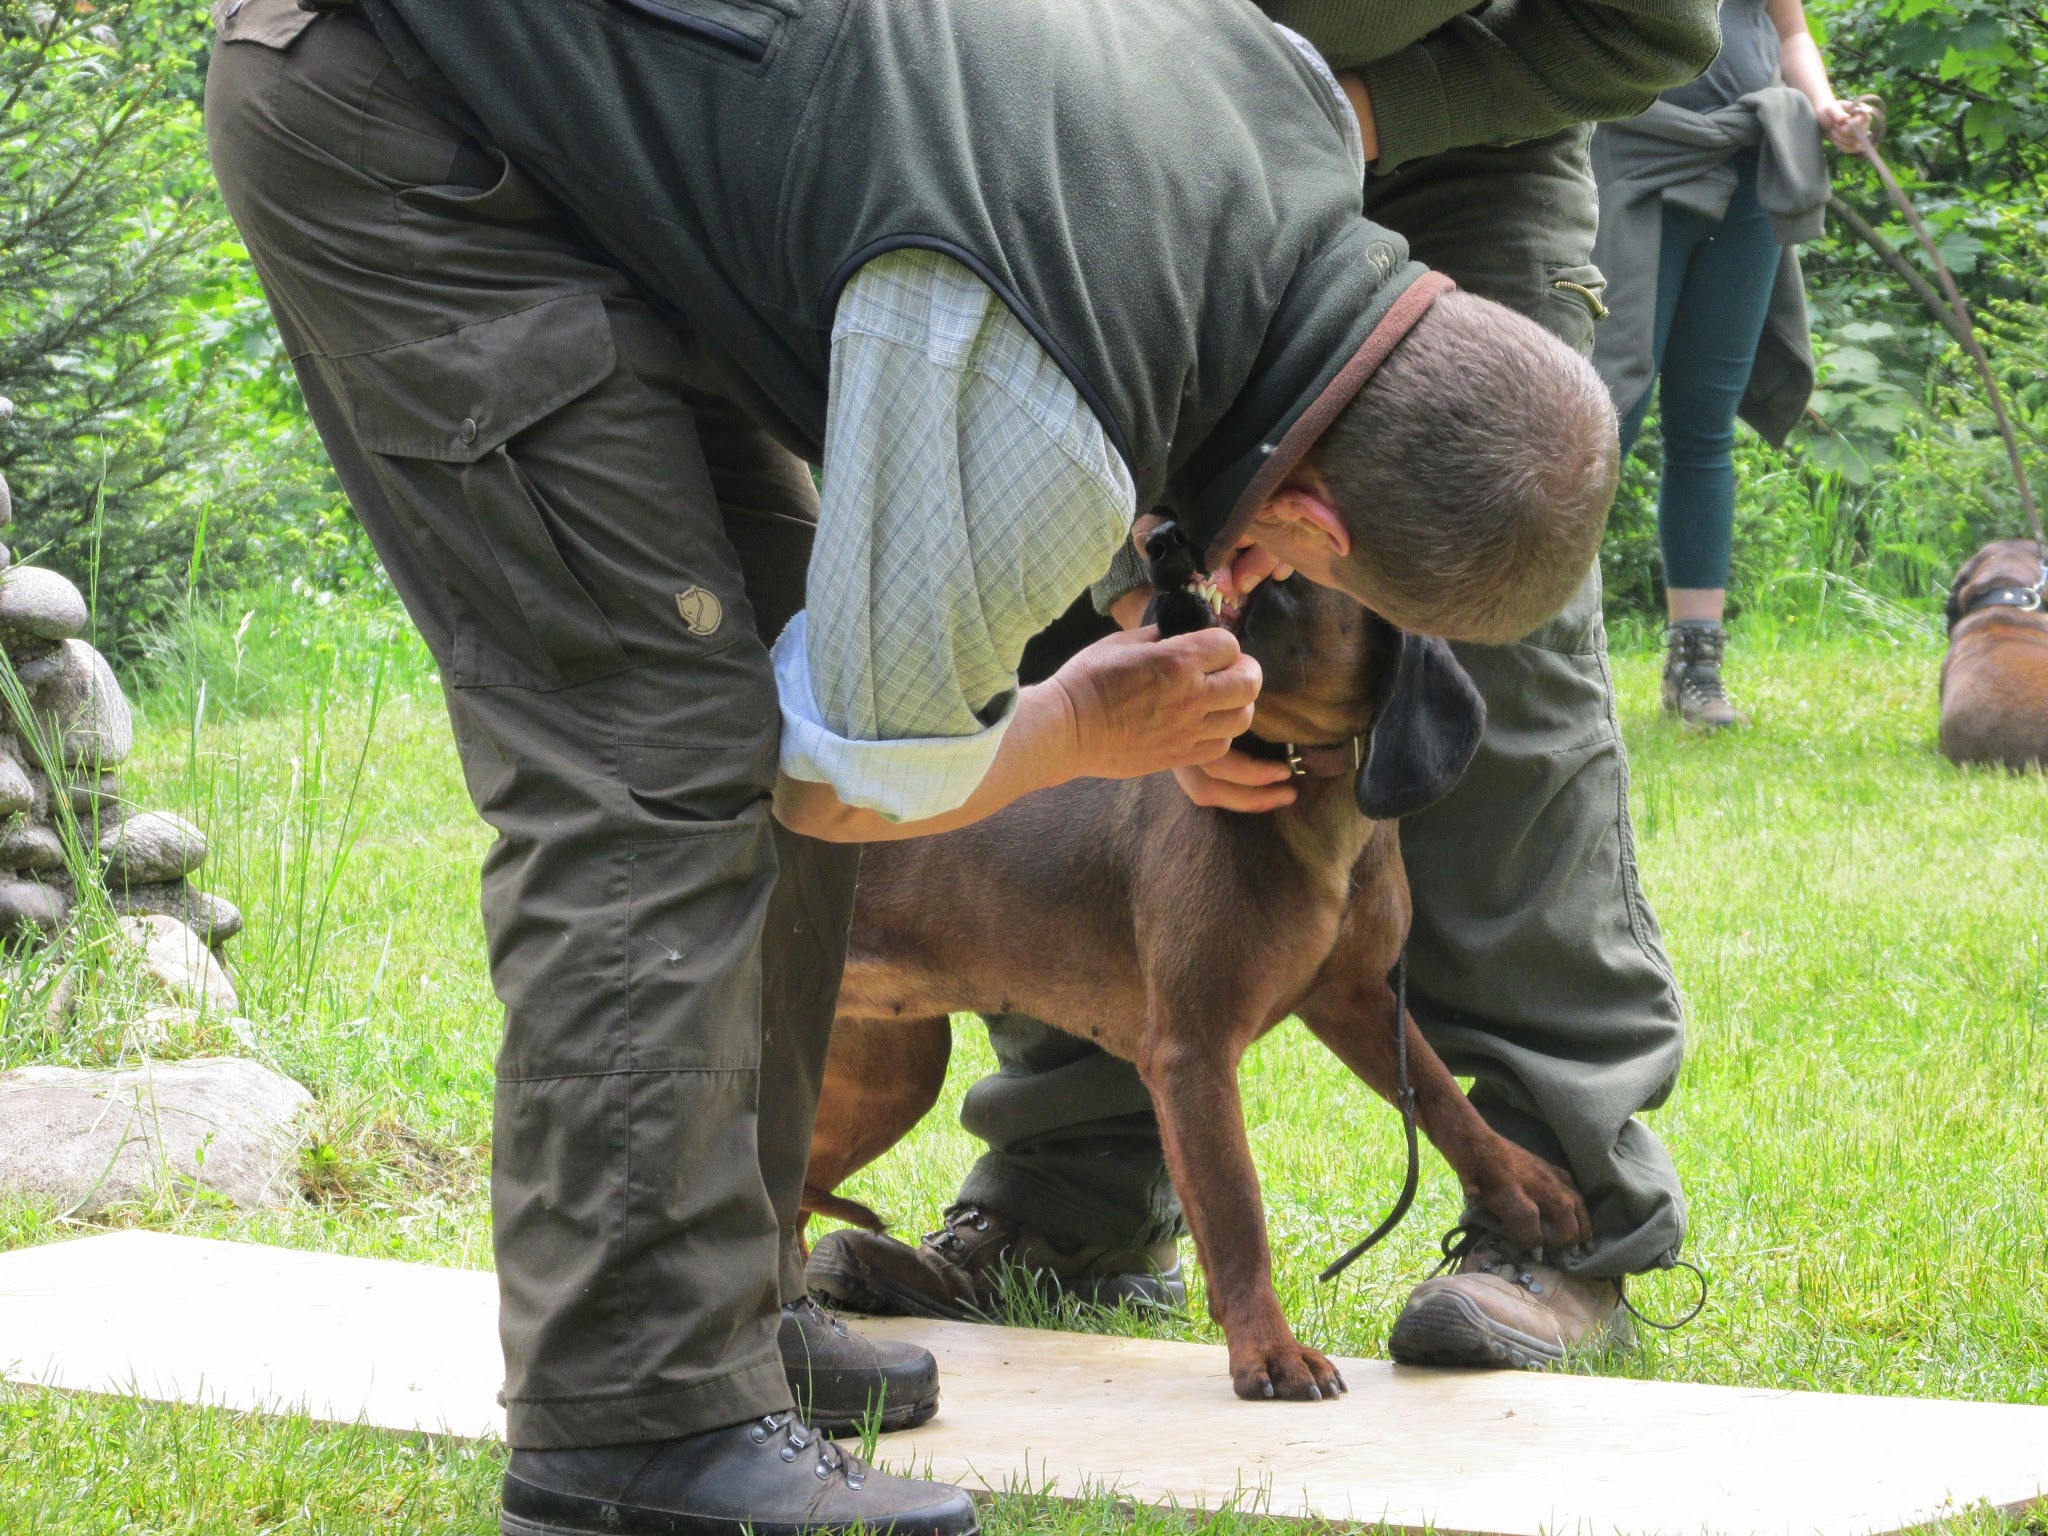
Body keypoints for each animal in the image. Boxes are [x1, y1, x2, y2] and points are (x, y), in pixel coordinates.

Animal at [806, 561, 1589, 1409]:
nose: (1155, 569)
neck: (1310, 795)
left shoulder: (1353, 998)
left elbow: (1443, 1094)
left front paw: (1522, 1185)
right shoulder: (1193, 1054)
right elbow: (1237, 1215)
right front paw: (1270, 1352)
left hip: (890, 1073)